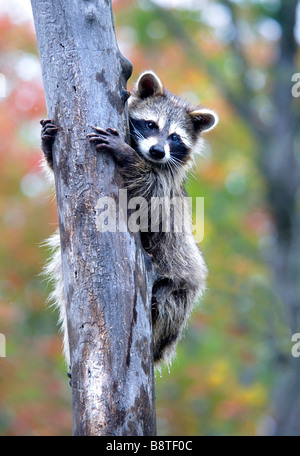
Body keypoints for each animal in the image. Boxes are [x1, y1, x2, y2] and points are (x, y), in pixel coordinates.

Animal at [40, 70, 218, 366]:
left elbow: (151, 201)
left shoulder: (166, 184)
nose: (157, 151)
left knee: (172, 303)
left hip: (182, 280)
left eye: (175, 138)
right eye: (150, 124)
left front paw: (127, 155)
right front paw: (46, 144)